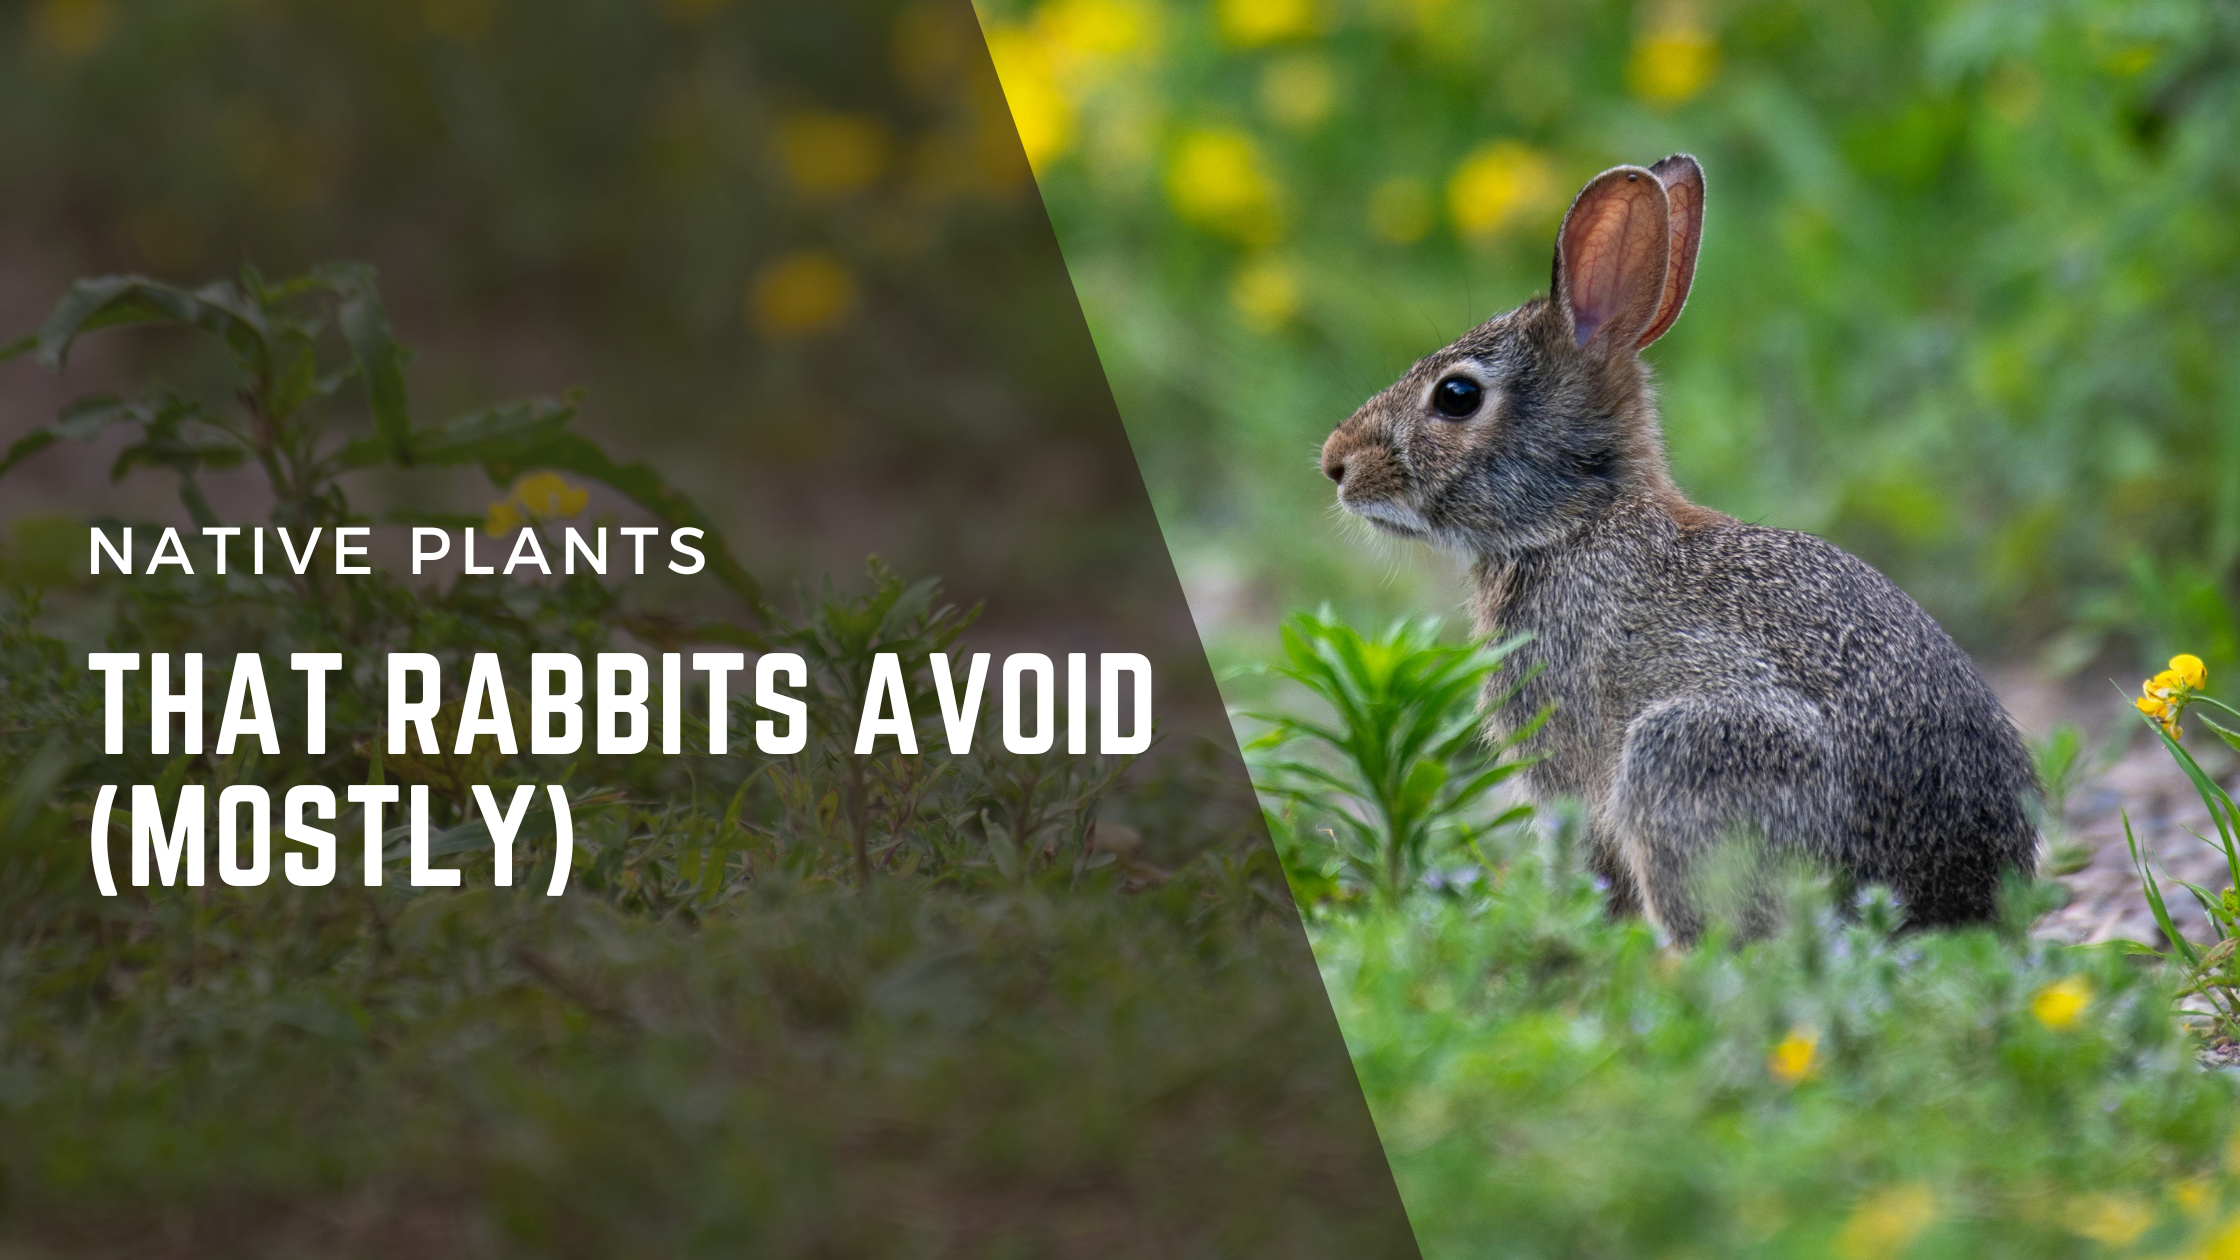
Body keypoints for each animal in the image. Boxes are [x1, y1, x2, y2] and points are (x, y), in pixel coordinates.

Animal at [1318, 155, 2038, 943]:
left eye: (1455, 396)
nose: (1335, 463)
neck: (1575, 522)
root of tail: (1947, 904)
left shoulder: (1569, 763)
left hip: (1685, 756)